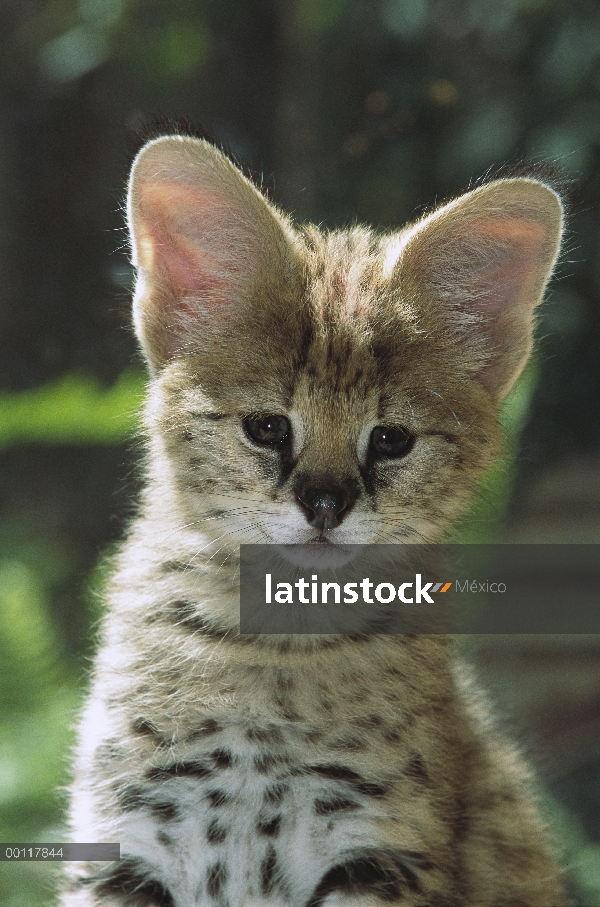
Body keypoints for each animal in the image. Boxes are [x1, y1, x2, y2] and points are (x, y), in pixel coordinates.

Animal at [61, 137, 568, 907]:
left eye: (390, 440)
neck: (275, 650)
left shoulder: (376, 852)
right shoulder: (121, 847)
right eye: (268, 427)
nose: (326, 506)